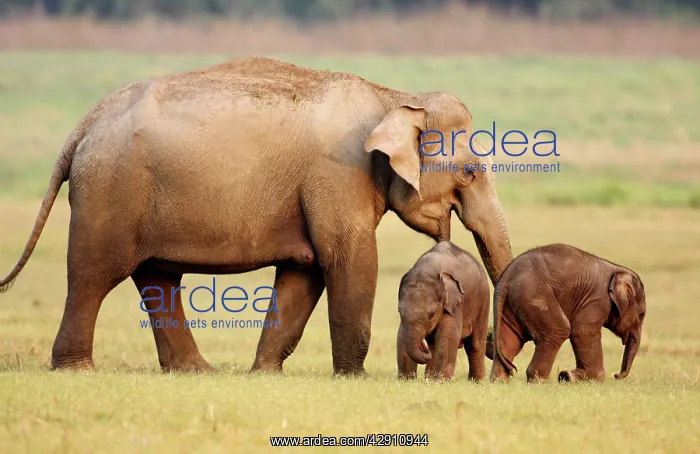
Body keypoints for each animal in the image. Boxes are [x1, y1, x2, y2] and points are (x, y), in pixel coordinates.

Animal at [397, 241, 490, 381]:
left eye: (432, 314)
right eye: (399, 311)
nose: (421, 346)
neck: (428, 269)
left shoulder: (456, 303)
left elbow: (449, 336)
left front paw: (442, 381)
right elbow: (401, 335)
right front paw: (406, 380)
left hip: (483, 302)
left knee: (475, 344)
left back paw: (476, 381)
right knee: (433, 344)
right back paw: (429, 378)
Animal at [486, 243, 646, 383]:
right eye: (642, 315)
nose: (616, 375)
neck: (616, 269)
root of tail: (506, 278)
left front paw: (569, 376)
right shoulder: (597, 300)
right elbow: (582, 330)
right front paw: (575, 377)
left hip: (514, 301)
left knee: (510, 339)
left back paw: (500, 380)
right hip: (533, 295)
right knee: (558, 330)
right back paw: (539, 381)